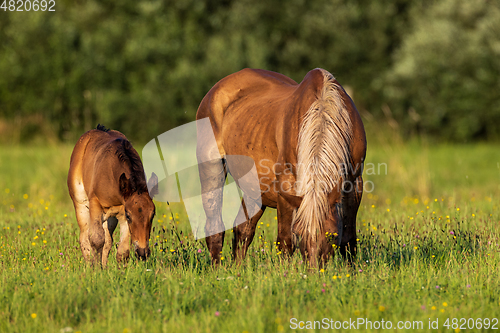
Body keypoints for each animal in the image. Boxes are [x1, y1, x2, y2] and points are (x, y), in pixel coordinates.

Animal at [66, 125, 156, 268]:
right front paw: (96, 269)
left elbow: (122, 251)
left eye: (152, 215)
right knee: (84, 236)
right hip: (81, 203)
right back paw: (89, 264)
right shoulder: (96, 205)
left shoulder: (122, 211)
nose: (142, 253)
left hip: (110, 217)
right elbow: (96, 239)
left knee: (108, 239)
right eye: (130, 216)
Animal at [196, 68, 368, 266]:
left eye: (331, 235)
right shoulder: (286, 188)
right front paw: (285, 271)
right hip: (212, 170)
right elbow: (285, 241)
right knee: (215, 227)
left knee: (243, 230)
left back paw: (237, 269)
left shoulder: (354, 184)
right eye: (300, 234)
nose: (315, 269)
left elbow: (348, 239)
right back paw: (218, 270)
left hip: (255, 188)